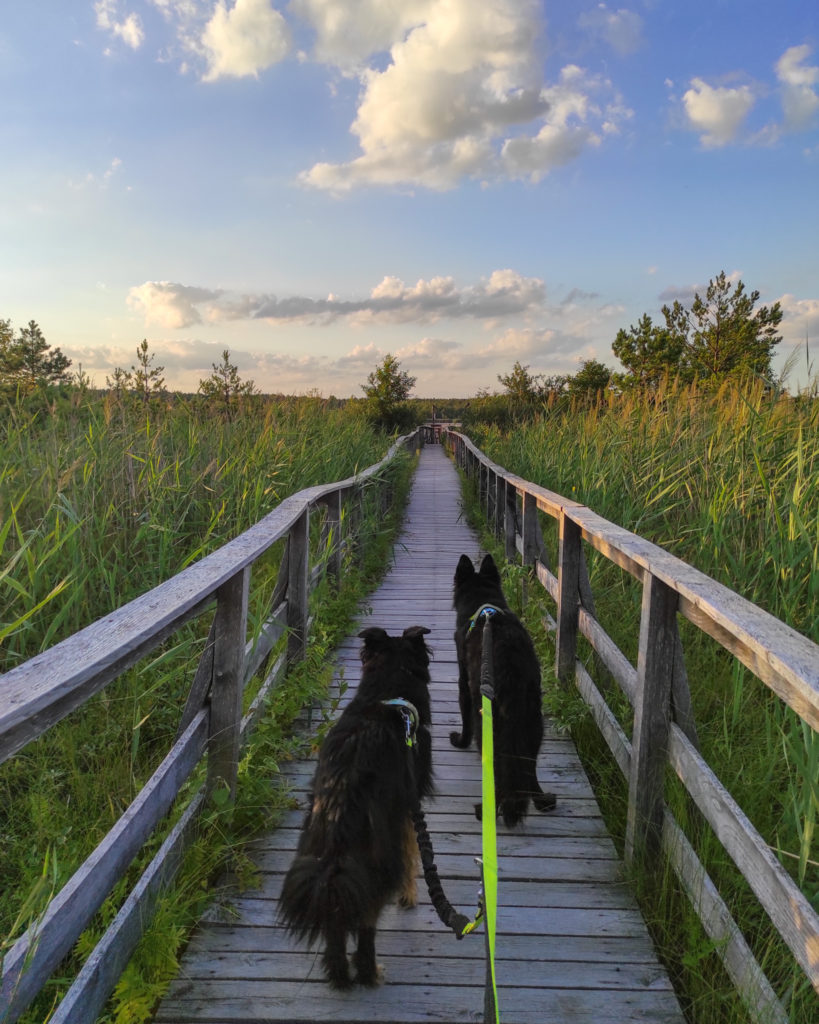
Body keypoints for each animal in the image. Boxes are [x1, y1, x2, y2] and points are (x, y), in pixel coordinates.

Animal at [276, 622, 432, 991]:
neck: (388, 687)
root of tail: (342, 792)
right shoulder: (407, 806)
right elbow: (413, 854)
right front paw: (409, 895)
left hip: (322, 850)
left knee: (336, 915)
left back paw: (339, 975)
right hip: (376, 857)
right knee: (365, 918)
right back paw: (367, 972)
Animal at [448, 557, 556, 827]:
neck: (483, 603)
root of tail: (510, 667)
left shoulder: (463, 681)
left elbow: (464, 717)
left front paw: (459, 741)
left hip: (486, 721)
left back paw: (486, 811)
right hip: (534, 723)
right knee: (529, 769)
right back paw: (542, 801)